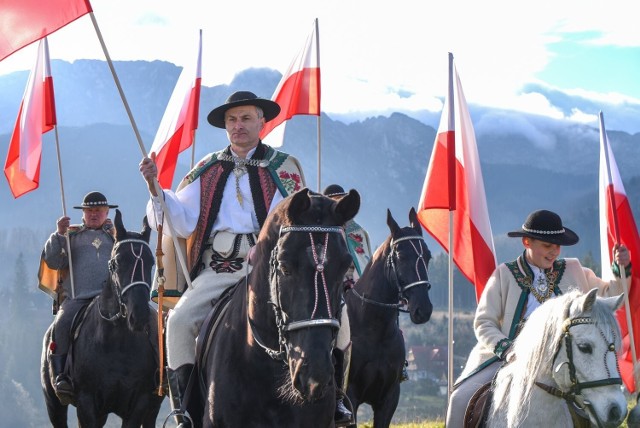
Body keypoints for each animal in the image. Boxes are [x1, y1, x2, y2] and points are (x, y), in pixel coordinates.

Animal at [40, 211, 164, 428]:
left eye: (150, 262)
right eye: (117, 262)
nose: (138, 315)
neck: (116, 342)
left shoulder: (139, 403)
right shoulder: (86, 403)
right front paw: (62, 228)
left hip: (150, 408)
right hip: (53, 403)